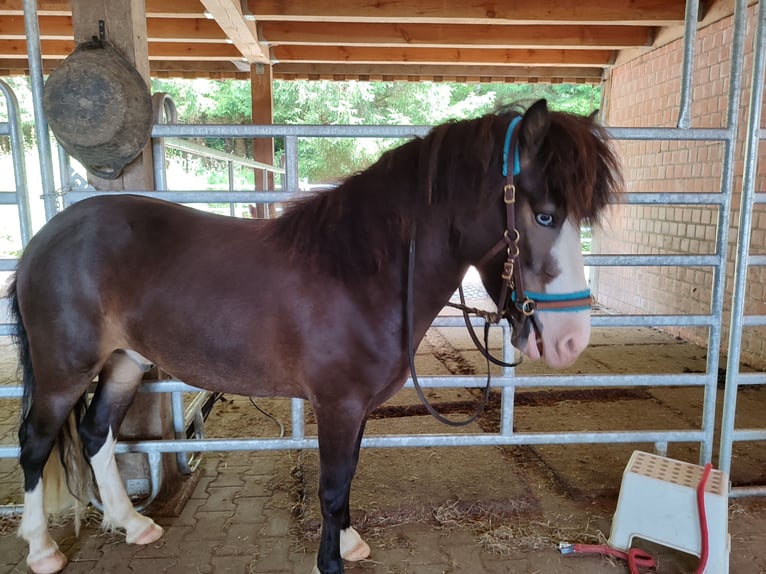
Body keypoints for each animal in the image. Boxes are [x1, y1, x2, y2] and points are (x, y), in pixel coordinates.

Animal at [7, 100, 624, 574]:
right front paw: (329, 560)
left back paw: (133, 524)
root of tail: (46, 238)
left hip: (124, 361)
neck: (361, 271)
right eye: (544, 216)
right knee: (35, 444)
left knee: (95, 433)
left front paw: (348, 542)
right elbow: (331, 486)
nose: (571, 340)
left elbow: (347, 477)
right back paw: (41, 550)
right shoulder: (338, 404)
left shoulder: (359, 407)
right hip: (64, 370)